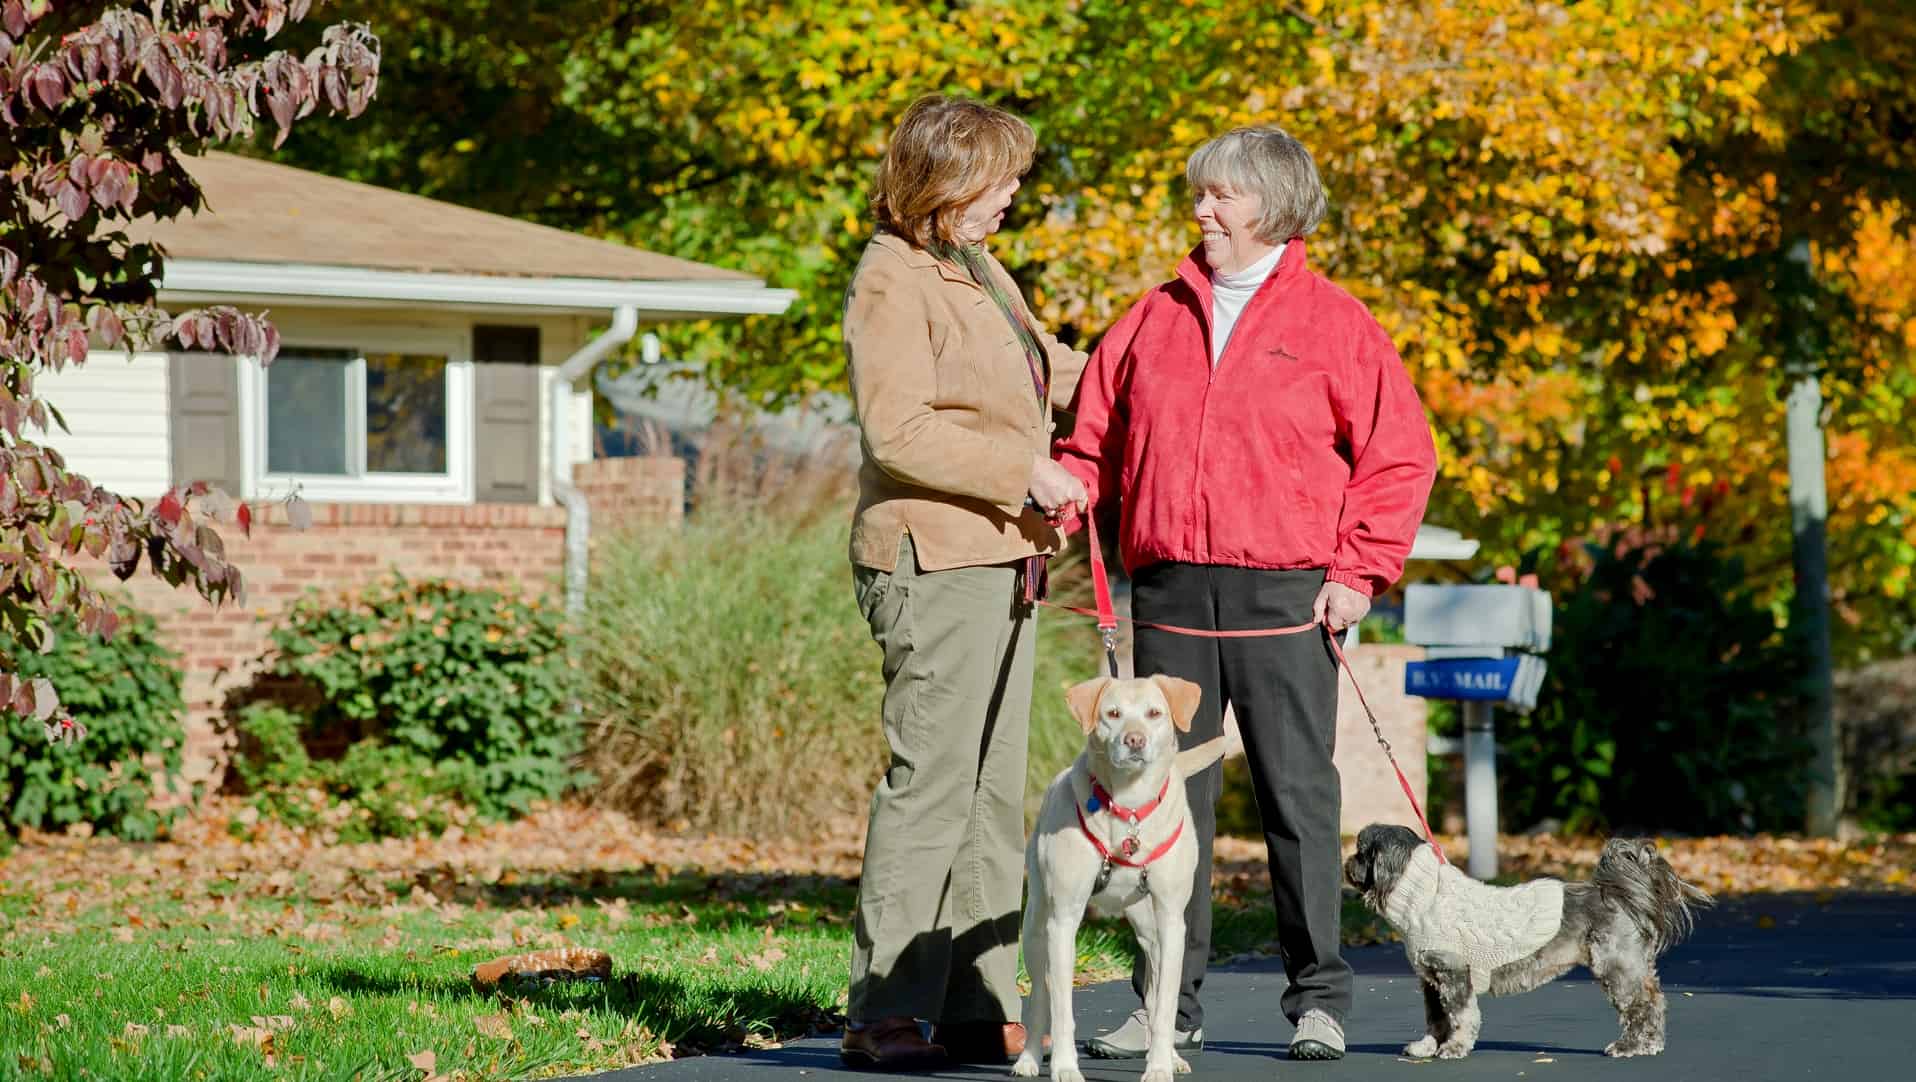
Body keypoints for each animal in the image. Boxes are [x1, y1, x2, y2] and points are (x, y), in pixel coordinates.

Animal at [1019, 674, 1226, 1080]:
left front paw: (1159, 1066)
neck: (1129, 807)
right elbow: (1061, 1008)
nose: (1135, 740)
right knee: (1038, 997)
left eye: (1154, 713)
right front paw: (1065, 1067)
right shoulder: (1063, 920)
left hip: (1152, 934)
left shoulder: (1171, 921)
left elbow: (1164, 1007)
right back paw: (1029, 1057)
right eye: (1112, 714)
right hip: (1036, 927)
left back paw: (1171, 1056)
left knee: (1155, 991)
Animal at [1341, 823, 1716, 1057]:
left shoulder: (1454, 975)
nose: (1346, 862)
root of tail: (1613, 894)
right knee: (1653, 999)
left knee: (1642, 1005)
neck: (1425, 895)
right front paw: (1427, 1047)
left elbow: (1461, 1018)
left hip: (1616, 968)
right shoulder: (1432, 983)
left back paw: (1633, 1046)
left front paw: (1454, 1049)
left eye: (1361, 852)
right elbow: (1437, 1020)